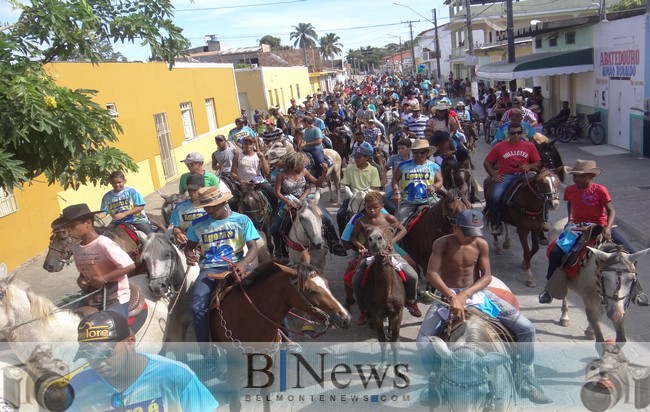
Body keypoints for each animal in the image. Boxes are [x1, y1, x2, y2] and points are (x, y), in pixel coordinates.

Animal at [210, 262, 350, 410]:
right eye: (311, 291)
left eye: (326, 284)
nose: (345, 318)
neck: (246, 317)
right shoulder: (233, 361)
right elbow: (236, 404)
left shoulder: (268, 356)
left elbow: (265, 394)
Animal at [362, 225, 402, 364]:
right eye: (368, 231)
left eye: (390, 230)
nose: (374, 239)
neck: (387, 294)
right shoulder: (376, 316)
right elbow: (382, 339)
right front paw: (383, 362)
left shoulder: (397, 314)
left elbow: (395, 340)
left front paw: (397, 363)